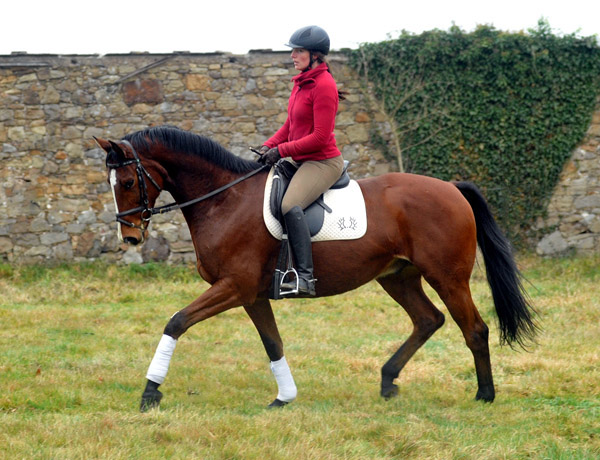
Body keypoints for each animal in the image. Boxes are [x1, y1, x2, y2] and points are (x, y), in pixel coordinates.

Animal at [95, 124, 540, 412]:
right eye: (112, 184)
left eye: (129, 183)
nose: (130, 238)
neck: (224, 199)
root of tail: (451, 187)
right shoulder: (251, 294)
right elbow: (273, 344)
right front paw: (284, 398)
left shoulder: (233, 286)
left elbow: (176, 322)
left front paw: (150, 392)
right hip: (398, 276)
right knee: (428, 320)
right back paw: (388, 380)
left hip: (447, 277)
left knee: (474, 329)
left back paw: (484, 396)